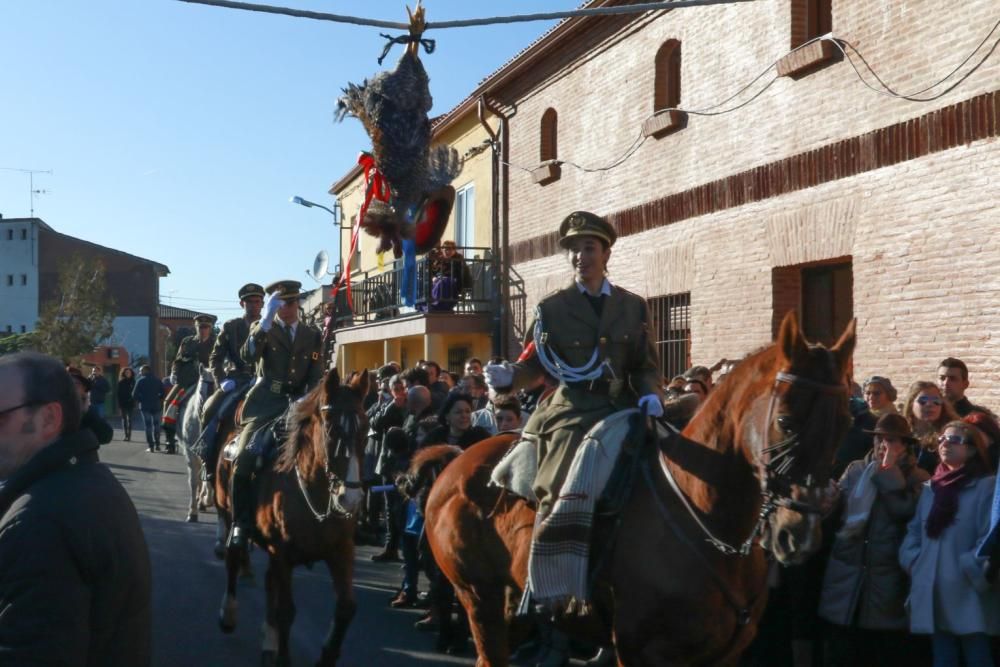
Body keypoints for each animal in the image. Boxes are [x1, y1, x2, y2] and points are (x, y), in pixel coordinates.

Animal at [178, 366, 217, 520]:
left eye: (216, 389)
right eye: (201, 390)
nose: (206, 412)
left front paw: (204, 500)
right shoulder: (190, 453)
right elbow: (194, 481)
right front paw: (192, 512)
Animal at [214, 368, 368, 667]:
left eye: (366, 430)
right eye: (330, 429)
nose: (351, 499)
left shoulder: (341, 550)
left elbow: (346, 607)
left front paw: (326, 656)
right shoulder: (282, 552)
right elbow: (286, 610)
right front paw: (283, 657)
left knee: (268, 582)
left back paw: (268, 638)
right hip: (228, 512)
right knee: (233, 555)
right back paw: (228, 613)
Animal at [420, 314, 852, 667]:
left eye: (844, 425)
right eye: (785, 421)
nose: (798, 534)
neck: (705, 515)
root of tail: (457, 461)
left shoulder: (725, 654)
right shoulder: (639, 651)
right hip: (480, 599)